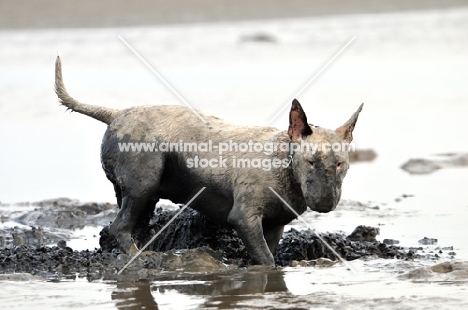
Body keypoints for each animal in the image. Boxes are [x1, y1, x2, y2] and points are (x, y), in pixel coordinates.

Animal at [54, 56, 362, 266]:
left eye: (340, 164)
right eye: (310, 162)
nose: (324, 203)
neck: (284, 161)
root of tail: (115, 114)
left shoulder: (275, 225)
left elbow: (267, 253)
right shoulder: (244, 217)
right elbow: (267, 261)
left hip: (141, 192)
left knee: (129, 225)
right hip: (144, 181)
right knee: (119, 226)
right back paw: (140, 257)